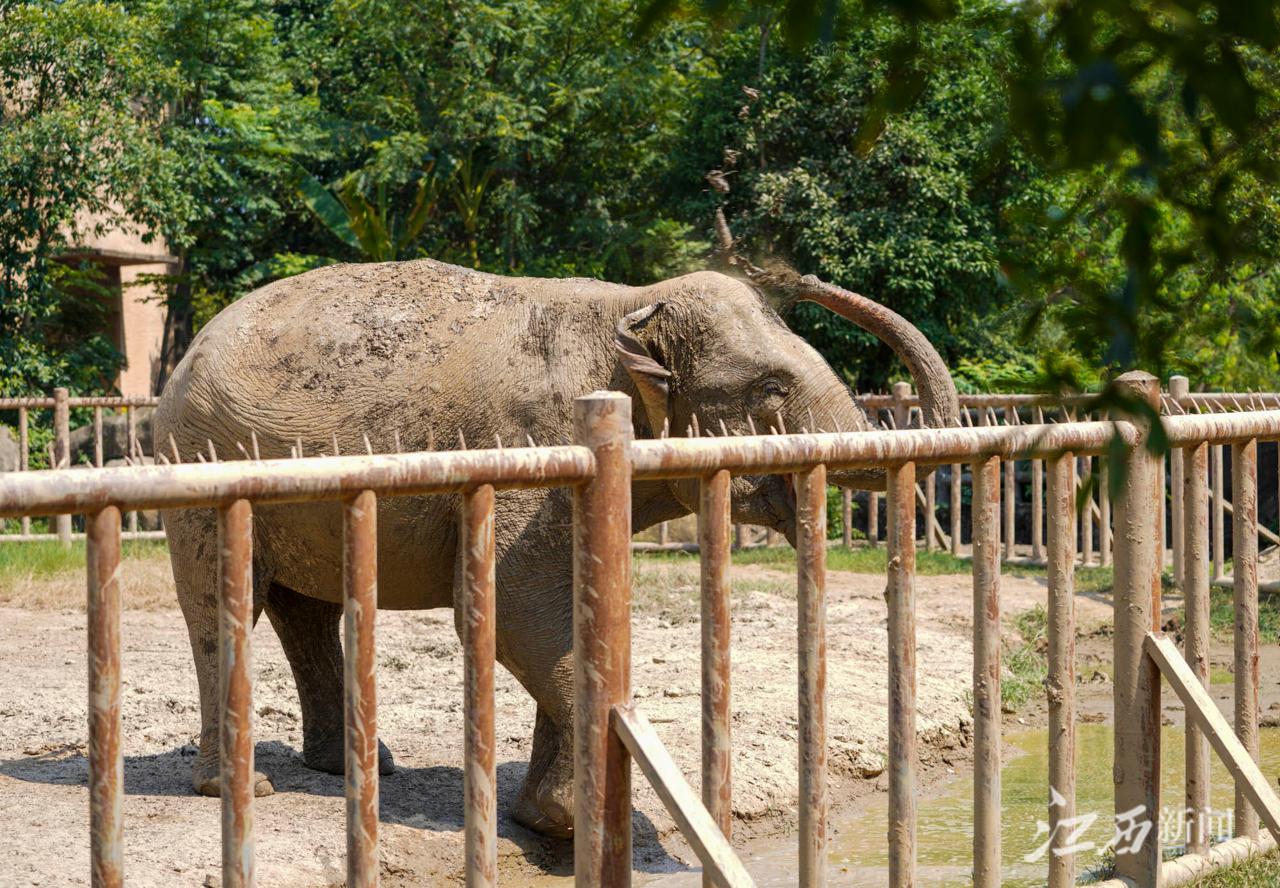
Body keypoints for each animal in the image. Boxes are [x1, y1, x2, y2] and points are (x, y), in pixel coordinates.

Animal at [154, 253, 957, 839]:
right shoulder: (534, 451)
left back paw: (356, 766)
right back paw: (241, 785)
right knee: (225, 609)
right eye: (769, 389)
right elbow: (516, 611)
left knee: (305, 611)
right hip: (201, 469)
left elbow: (565, 606)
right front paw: (580, 823)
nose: (805, 276)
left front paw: (542, 819)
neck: (632, 304)